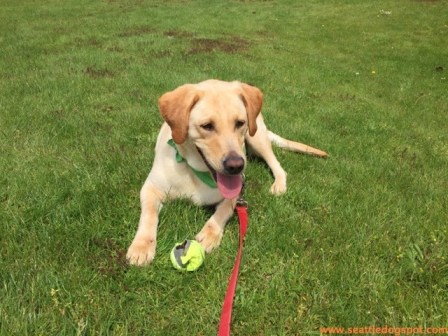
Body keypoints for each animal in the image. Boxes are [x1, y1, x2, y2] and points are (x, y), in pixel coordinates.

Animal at [126, 79, 326, 266]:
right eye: (207, 126)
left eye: (240, 123)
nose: (236, 166)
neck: (196, 172)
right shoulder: (150, 189)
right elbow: (149, 215)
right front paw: (141, 246)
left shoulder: (237, 191)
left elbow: (223, 210)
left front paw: (210, 233)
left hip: (256, 137)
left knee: (277, 165)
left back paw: (279, 184)